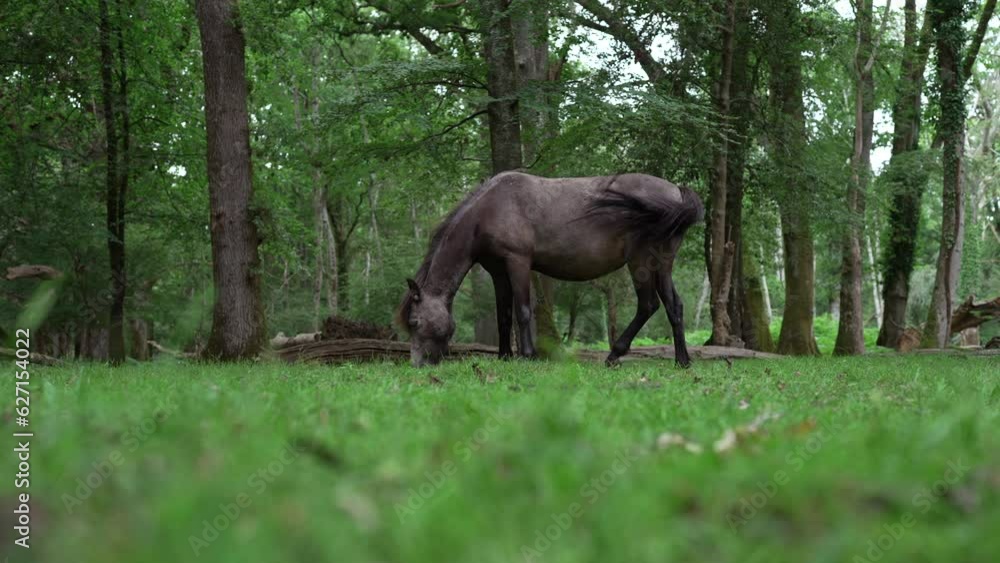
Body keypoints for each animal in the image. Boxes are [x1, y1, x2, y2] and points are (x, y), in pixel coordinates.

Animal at [396, 172, 704, 370]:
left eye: (414, 321)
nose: (417, 364)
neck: (489, 210)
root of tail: (676, 192)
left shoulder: (517, 262)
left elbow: (522, 311)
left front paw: (528, 355)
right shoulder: (498, 272)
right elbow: (503, 315)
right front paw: (505, 356)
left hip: (641, 261)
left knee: (648, 304)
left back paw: (614, 355)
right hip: (661, 263)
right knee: (673, 305)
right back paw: (682, 361)